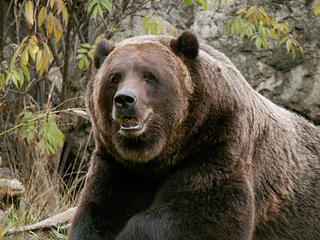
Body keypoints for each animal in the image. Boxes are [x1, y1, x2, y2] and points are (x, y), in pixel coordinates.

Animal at [69, 30, 320, 240]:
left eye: (150, 75)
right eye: (115, 77)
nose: (124, 99)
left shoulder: (217, 145)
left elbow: (208, 214)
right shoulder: (119, 165)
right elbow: (97, 213)